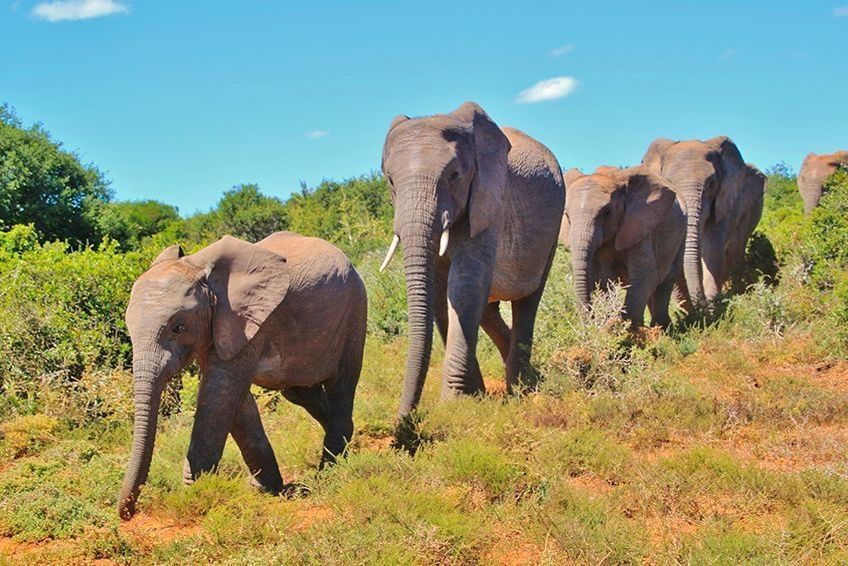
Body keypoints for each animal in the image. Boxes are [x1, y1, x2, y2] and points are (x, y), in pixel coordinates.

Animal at [116, 233, 364, 520]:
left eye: (178, 327)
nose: (128, 513)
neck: (199, 268)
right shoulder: (221, 327)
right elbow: (236, 402)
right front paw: (265, 488)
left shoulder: (247, 320)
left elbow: (219, 395)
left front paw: (195, 495)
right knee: (300, 392)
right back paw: (348, 443)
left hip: (354, 309)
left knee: (341, 383)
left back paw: (329, 469)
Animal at [380, 102, 568, 420]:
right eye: (391, 180)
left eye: (454, 175)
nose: (405, 420)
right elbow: (440, 294)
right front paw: (473, 396)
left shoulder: (488, 201)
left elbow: (464, 287)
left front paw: (454, 404)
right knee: (488, 309)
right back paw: (528, 376)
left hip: (552, 228)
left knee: (527, 300)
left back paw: (520, 388)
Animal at [564, 165, 688, 328]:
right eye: (567, 216)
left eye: (608, 212)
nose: (590, 323)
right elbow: (603, 278)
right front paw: (610, 325)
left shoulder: (639, 224)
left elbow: (645, 275)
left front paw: (629, 329)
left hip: (681, 235)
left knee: (664, 283)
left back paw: (662, 328)